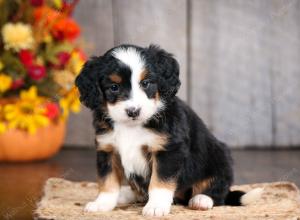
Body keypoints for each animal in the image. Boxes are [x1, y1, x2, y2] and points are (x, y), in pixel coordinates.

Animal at [75, 44, 262, 217]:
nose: (133, 111)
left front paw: (156, 206)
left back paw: (202, 200)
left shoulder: (168, 150)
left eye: (146, 83)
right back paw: (127, 194)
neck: (132, 126)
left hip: (220, 157)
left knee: (218, 191)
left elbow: (159, 182)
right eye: (114, 87)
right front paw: (102, 203)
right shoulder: (107, 149)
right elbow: (108, 182)